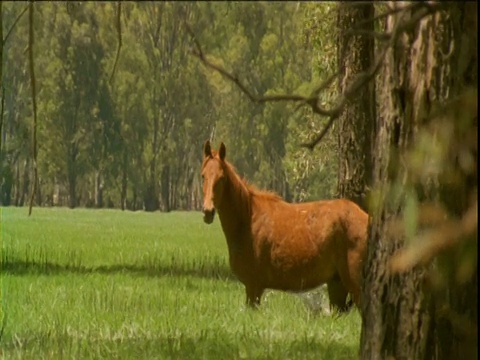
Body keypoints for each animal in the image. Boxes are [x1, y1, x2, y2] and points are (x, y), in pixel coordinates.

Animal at [201, 139, 370, 310]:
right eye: (203, 176)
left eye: (221, 177)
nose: (208, 211)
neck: (248, 219)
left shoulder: (253, 287)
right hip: (337, 285)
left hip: (355, 285)